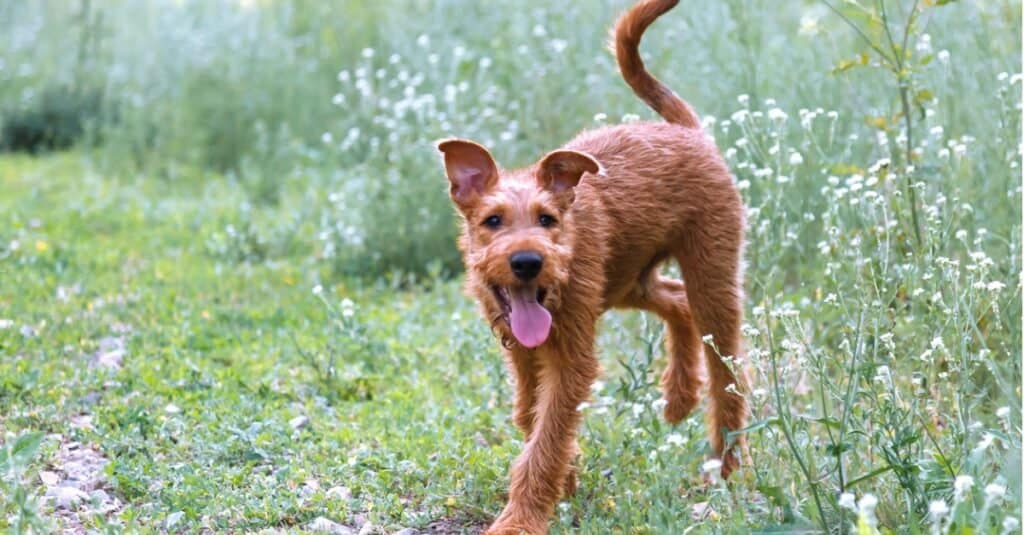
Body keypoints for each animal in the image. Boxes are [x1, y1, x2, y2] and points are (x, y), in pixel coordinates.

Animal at [436, 2, 749, 528]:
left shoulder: (572, 357)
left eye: (547, 219)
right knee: (676, 302)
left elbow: (544, 439)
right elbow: (532, 419)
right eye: (492, 220)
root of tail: (684, 131)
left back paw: (726, 471)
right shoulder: (524, 355)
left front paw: (520, 520)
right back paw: (678, 396)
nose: (527, 261)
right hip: (627, 280)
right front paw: (566, 480)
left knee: (729, 379)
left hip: (711, 276)